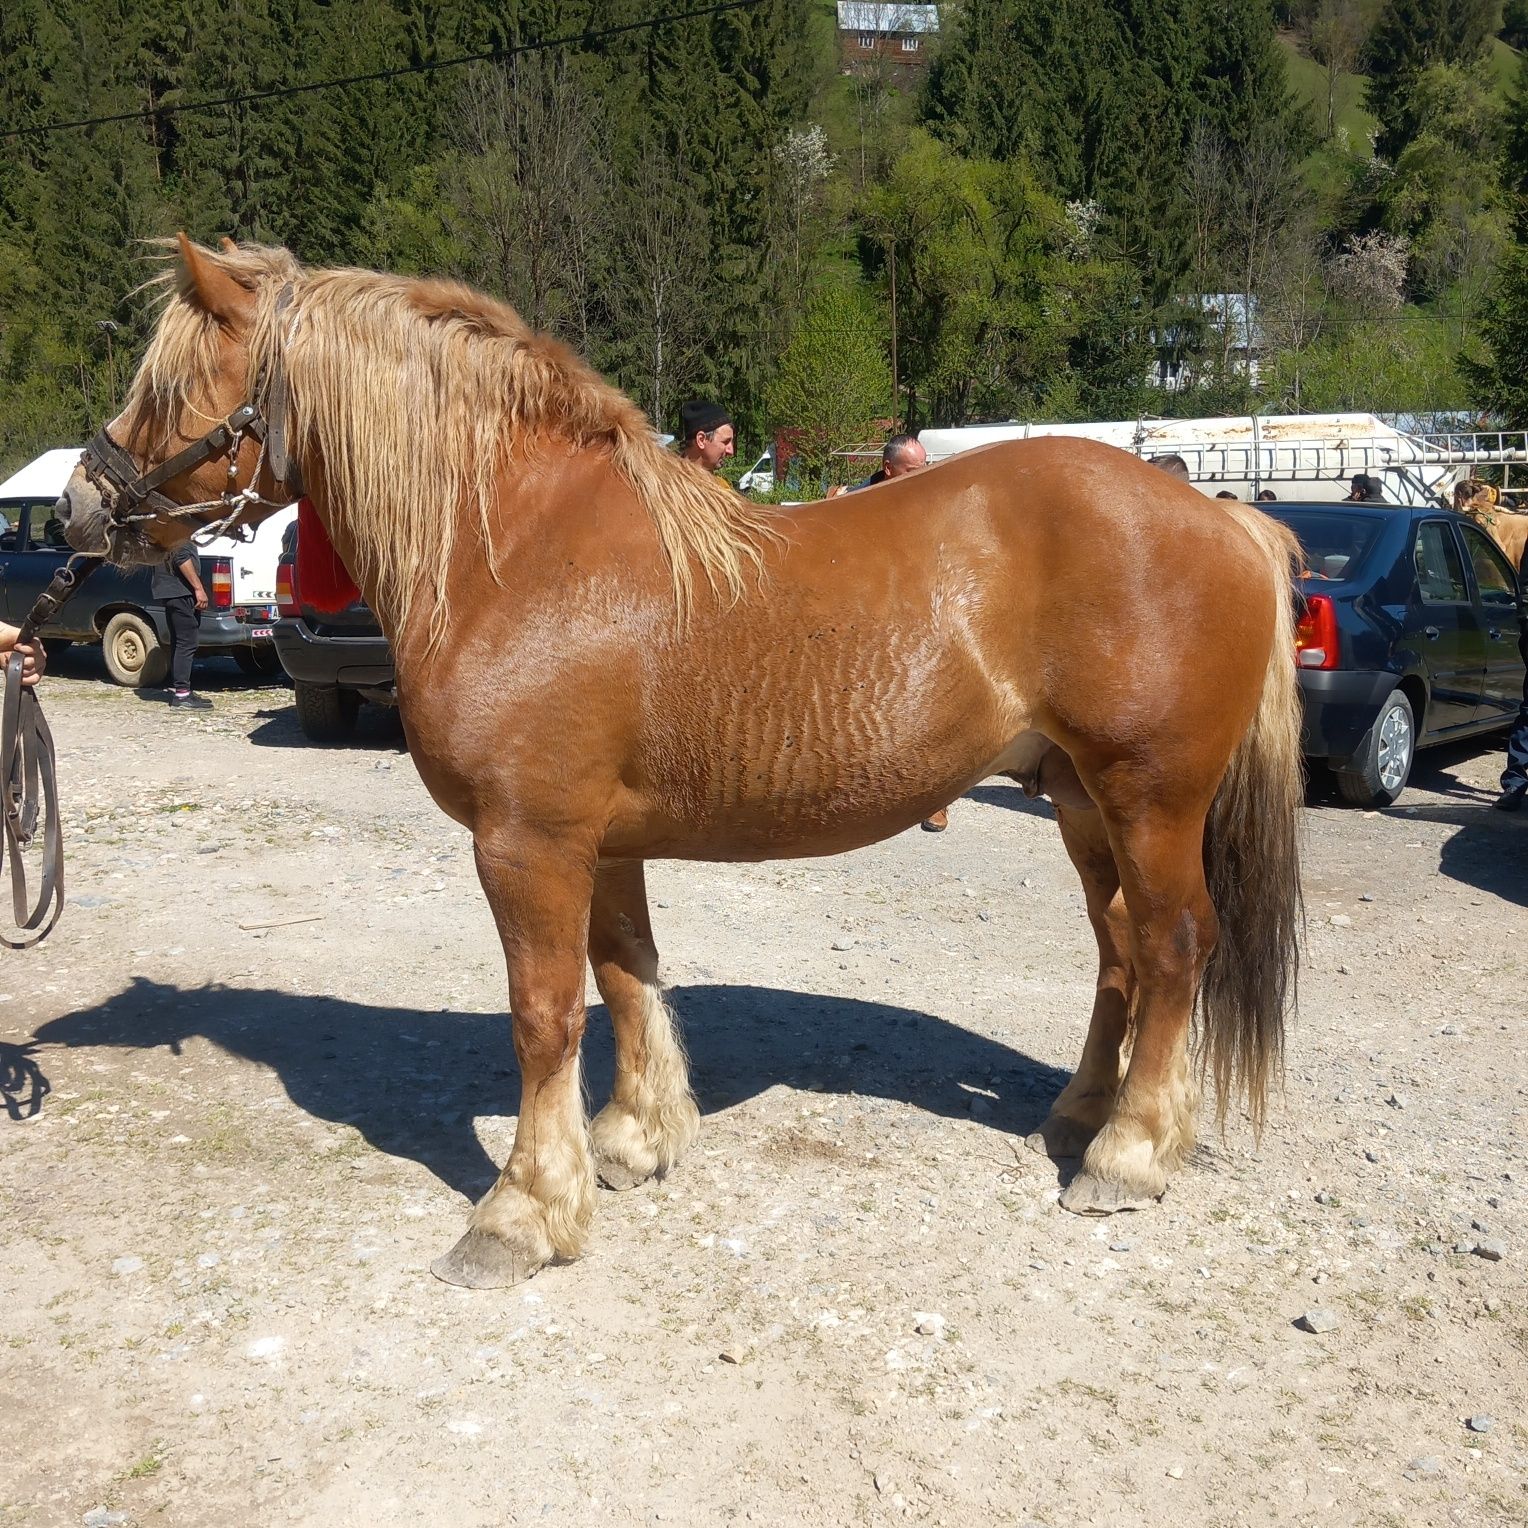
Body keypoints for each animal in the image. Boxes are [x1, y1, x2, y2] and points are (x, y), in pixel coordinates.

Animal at [56, 241, 1301, 1289]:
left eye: (169, 384)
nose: (77, 504)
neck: (515, 548)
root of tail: (1229, 518)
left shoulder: (526, 842)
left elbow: (545, 1016)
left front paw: (522, 1211)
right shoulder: (596, 842)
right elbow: (624, 976)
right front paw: (631, 1142)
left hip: (1148, 798)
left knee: (1174, 946)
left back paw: (1127, 1153)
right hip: (1080, 803)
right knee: (1119, 954)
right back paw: (1080, 1115)